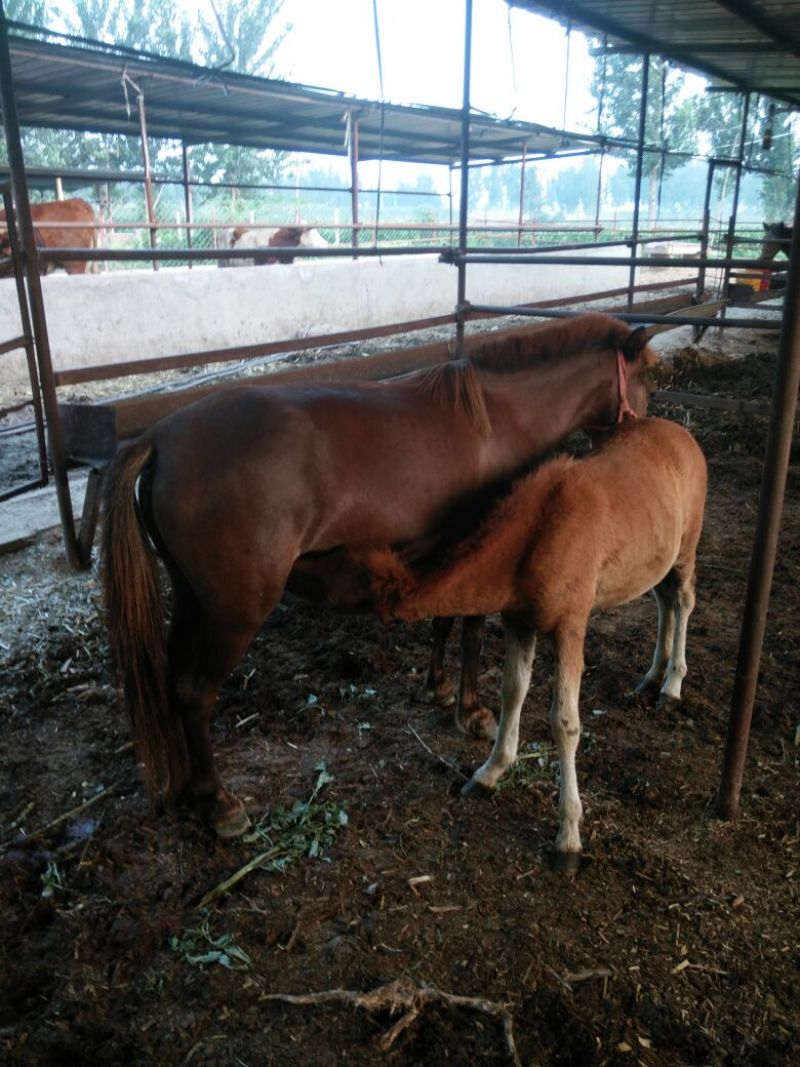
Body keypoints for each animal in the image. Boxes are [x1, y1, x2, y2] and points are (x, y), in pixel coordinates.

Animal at [101, 313, 658, 839]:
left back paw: (184, 794)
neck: (499, 418)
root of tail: (159, 440)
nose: (646, 437)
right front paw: (472, 712)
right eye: (647, 376)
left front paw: (437, 687)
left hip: (193, 600)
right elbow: (473, 634)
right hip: (233, 612)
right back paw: (219, 805)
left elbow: (444, 624)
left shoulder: (448, 546)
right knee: (196, 695)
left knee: (172, 685)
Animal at [357, 417, 707, 870]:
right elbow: (512, 692)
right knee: (663, 599)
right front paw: (489, 773)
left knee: (682, 601)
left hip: (686, 548)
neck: (538, 535)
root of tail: (684, 435)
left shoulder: (571, 626)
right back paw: (652, 676)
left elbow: (564, 722)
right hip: (656, 557)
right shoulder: (518, 622)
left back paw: (672, 684)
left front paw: (569, 836)